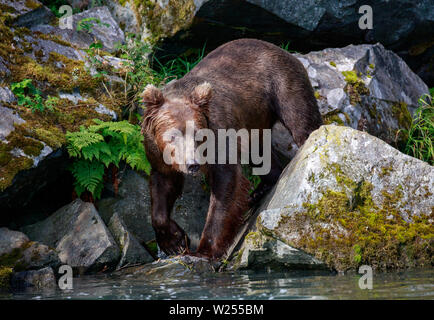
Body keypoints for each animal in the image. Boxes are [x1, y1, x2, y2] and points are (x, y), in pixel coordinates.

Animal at [140, 38, 322, 260]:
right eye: (172, 136)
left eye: (198, 135)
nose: (192, 164)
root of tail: (284, 50)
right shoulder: (158, 154)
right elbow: (162, 188)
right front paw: (175, 241)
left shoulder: (219, 136)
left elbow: (226, 186)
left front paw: (205, 250)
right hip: (253, 120)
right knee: (259, 151)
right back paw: (259, 192)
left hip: (284, 86)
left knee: (302, 122)